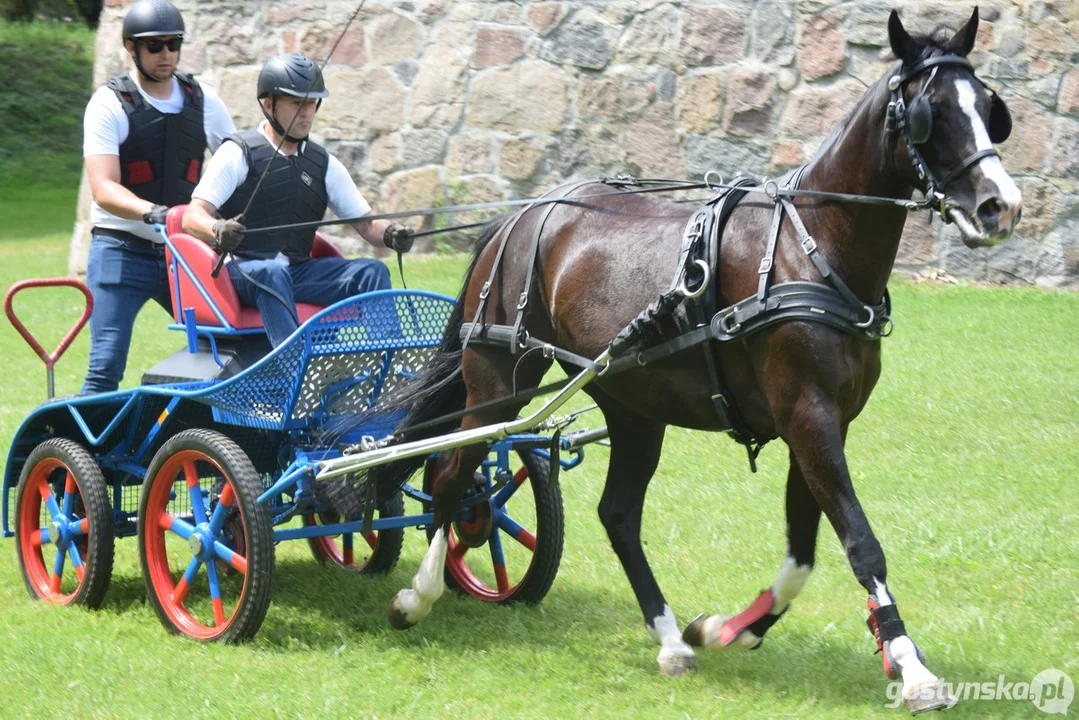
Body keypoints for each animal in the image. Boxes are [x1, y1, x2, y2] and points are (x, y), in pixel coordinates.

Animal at [351, 7, 1018, 716]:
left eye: (989, 107)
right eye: (930, 111)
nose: (1001, 206)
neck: (812, 249)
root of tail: (518, 216)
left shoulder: (816, 424)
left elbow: (801, 556)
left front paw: (727, 628)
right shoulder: (808, 417)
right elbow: (861, 542)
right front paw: (911, 666)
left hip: (632, 405)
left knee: (616, 514)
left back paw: (670, 638)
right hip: (496, 378)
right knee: (452, 476)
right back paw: (416, 597)